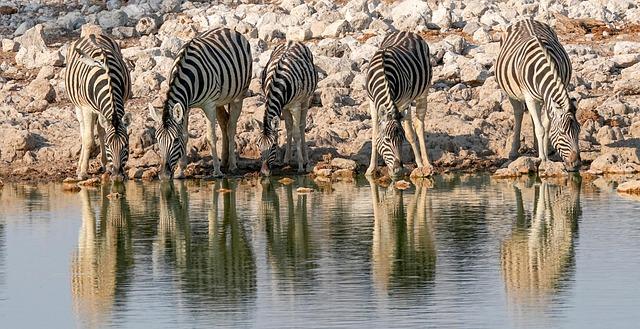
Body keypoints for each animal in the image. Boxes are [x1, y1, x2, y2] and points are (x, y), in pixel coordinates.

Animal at [66, 33, 131, 181]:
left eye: (126, 145)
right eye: (108, 145)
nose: (117, 177)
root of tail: (91, 34)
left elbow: (102, 132)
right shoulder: (86, 109)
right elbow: (88, 139)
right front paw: (83, 172)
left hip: (100, 110)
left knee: (101, 130)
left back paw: (104, 164)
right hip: (78, 105)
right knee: (83, 131)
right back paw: (79, 167)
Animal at [149, 27, 251, 179]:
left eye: (175, 141)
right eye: (157, 140)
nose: (164, 176)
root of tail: (228, 29)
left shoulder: (209, 105)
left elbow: (211, 137)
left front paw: (217, 172)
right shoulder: (185, 107)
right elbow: (185, 135)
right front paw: (180, 171)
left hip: (238, 95)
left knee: (231, 126)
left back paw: (232, 165)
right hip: (220, 100)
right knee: (224, 122)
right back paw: (224, 161)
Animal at [255, 41, 316, 176]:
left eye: (273, 146)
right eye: (258, 146)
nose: (264, 172)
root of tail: (292, 41)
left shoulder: (295, 106)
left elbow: (297, 134)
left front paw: (300, 166)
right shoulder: (282, 106)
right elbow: (288, 128)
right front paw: (286, 160)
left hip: (305, 99)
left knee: (301, 127)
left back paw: (306, 160)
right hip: (287, 107)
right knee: (289, 127)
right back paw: (287, 159)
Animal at [368, 31, 432, 178]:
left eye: (401, 140)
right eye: (386, 140)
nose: (398, 169)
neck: (383, 74)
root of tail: (407, 32)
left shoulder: (404, 102)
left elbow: (409, 134)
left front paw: (420, 166)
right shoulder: (372, 102)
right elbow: (374, 134)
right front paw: (371, 169)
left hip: (423, 92)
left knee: (419, 126)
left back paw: (426, 163)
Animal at [498, 18, 584, 170]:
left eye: (579, 130)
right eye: (562, 132)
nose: (576, 164)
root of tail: (526, 19)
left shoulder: (547, 98)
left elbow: (546, 126)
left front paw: (544, 155)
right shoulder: (529, 97)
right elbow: (541, 129)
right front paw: (543, 159)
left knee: (535, 118)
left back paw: (537, 147)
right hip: (511, 92)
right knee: (519, 113)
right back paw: (514, 152)